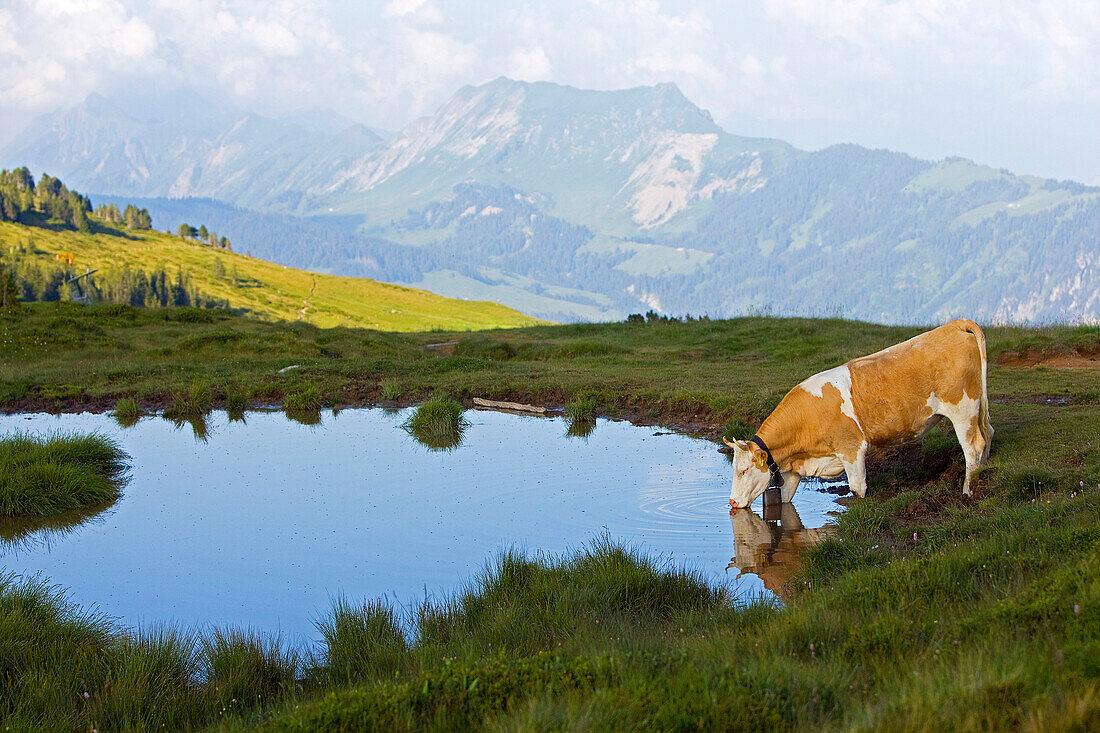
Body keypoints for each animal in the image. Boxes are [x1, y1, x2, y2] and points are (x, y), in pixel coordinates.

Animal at [726, 319, 994, 508]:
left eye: (744, 470)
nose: (732, 502)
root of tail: (955, 324)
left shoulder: (852, 449)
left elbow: (857, 488)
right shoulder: (794, 471)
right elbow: (785, 498)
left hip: (963, 408)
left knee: (973, 446)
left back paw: (968, 491)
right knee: (988, 434)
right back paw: (984, 472)